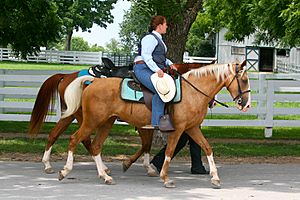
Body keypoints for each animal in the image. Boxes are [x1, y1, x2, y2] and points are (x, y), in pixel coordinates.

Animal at [28, 62, 213, 173]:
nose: (211, 103)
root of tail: (66, 76)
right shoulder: (144, 123)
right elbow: (147, 144)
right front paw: (143, 165)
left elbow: (147, 144)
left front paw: (143, 165)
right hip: (85, 117)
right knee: (85, 139)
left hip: (71, 114)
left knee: (56, 134)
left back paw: (48, 164)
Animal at [58, 60, 251, 188]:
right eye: (244, 80)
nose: (246, 104)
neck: (191, 92)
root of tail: (93, 82)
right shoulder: (178, 129)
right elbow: (169, 151)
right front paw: (165, 177)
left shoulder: (192, 128)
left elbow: (207, 147)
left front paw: (215, 178)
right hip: (92, 121)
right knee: (75, 139)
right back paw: (65, 171)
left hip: (106, 122)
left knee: (96, 146)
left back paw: (105, 176)